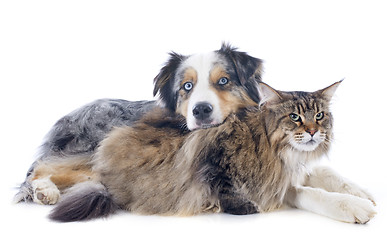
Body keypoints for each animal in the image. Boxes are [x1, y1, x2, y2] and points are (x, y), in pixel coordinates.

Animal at [14, 44, 264, 206]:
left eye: (223, 81)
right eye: (187, 86)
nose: (201, 110)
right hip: (100, 140)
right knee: (43, 166)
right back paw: (45, 191)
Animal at [48, 80, 376, 223]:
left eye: (319, 116)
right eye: (295, 117)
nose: (312, 132)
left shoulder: (299, 167)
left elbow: (330, 174)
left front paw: (363, 193)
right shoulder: (275, 183)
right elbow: (314, 193)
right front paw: (356, 208)